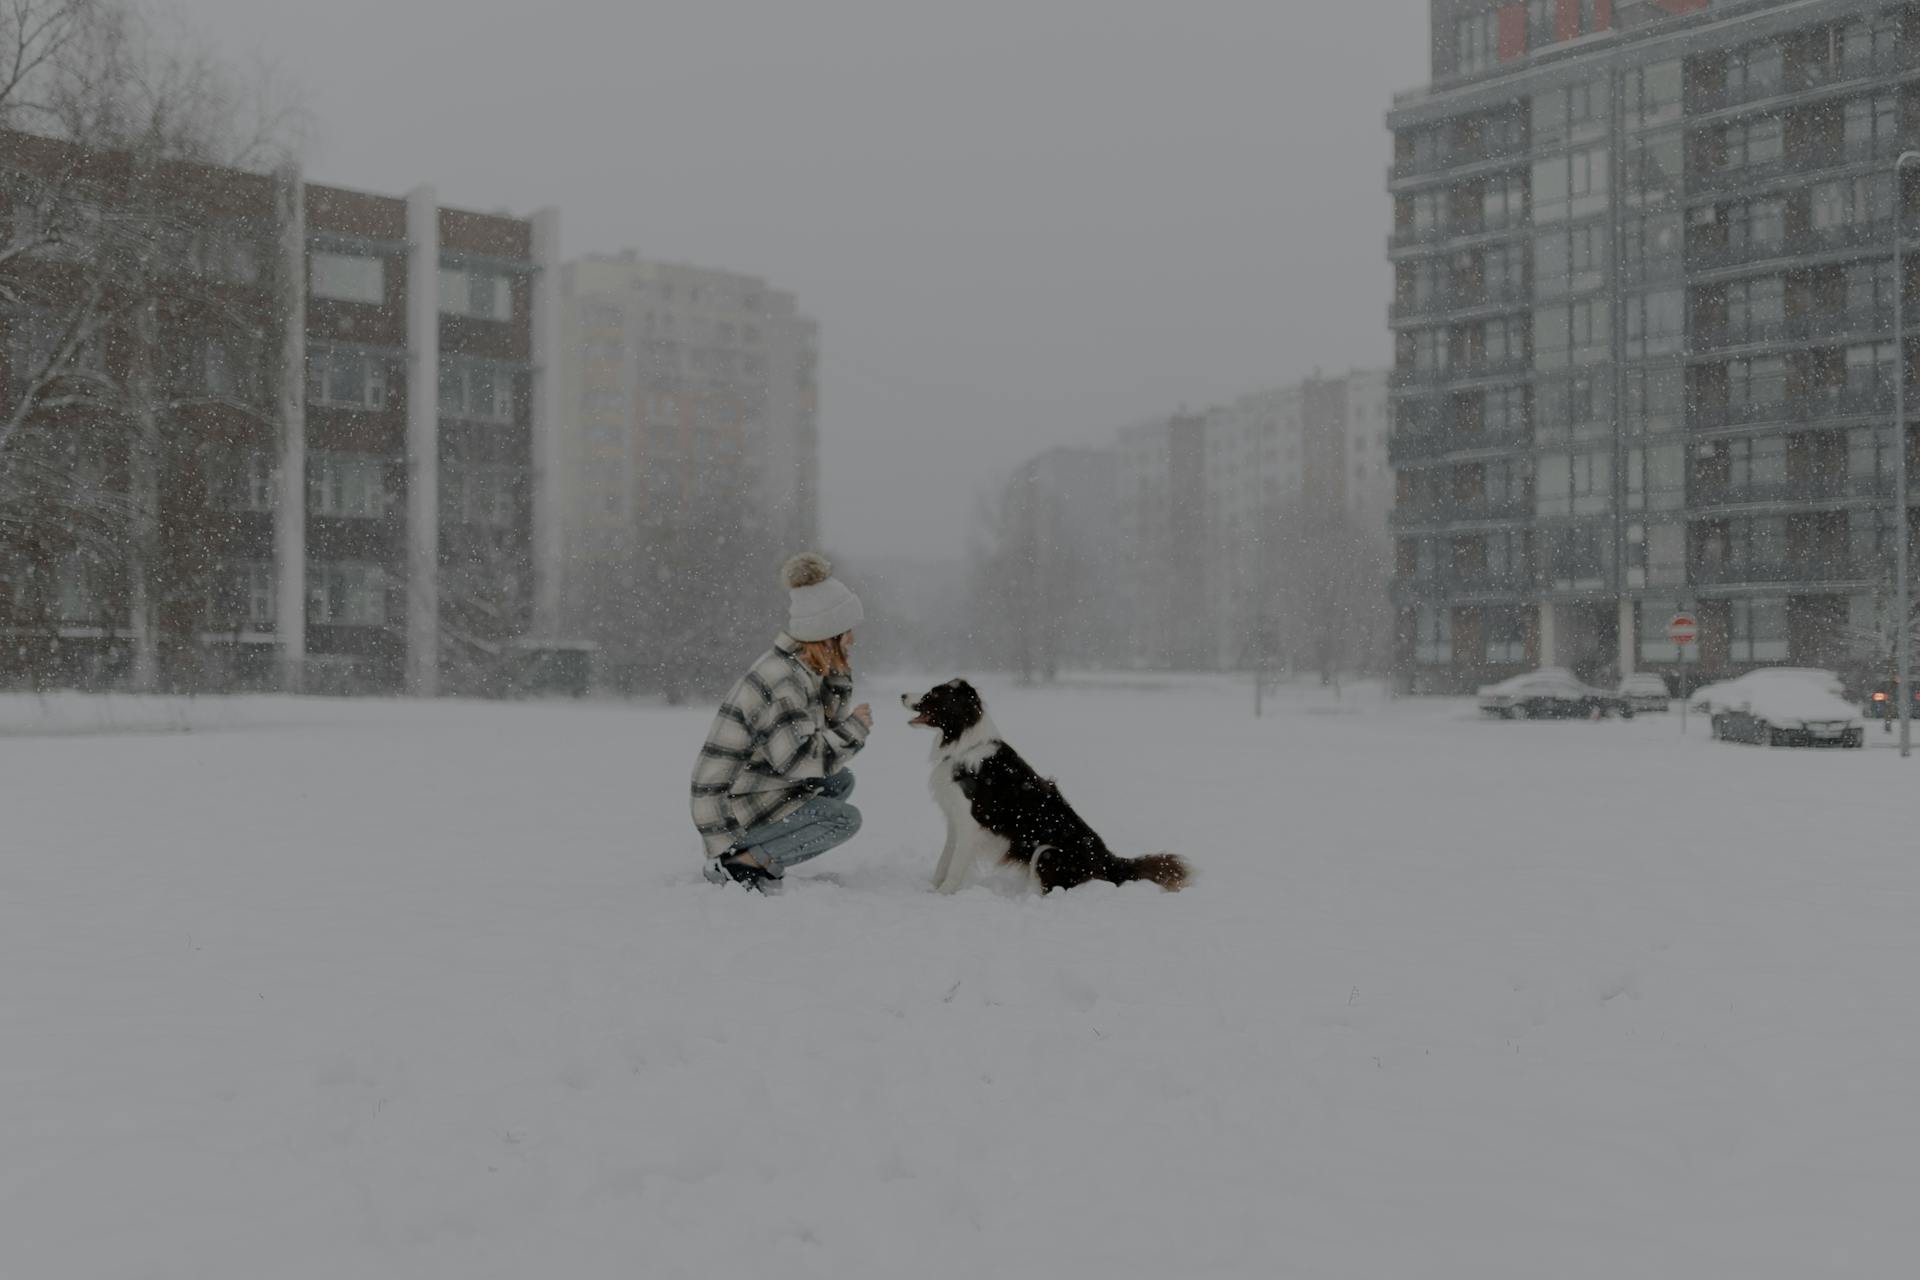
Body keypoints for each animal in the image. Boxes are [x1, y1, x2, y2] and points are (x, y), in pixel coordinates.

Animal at [898, 687, 1182, 898]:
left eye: (934, 693)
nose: (902, 695)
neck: (965, 744)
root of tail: (1111, 861)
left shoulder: (970, 823)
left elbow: (955, 864)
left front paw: (943, 893)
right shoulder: (954, 820)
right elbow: (945, 858)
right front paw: (933, 886)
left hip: (1047, 852)